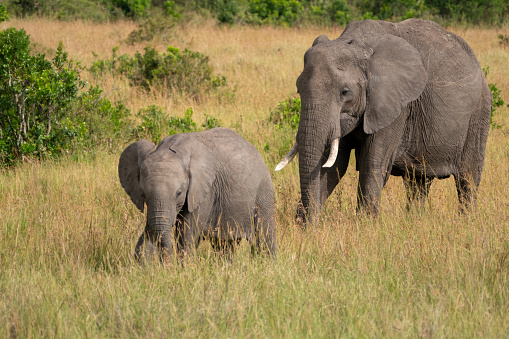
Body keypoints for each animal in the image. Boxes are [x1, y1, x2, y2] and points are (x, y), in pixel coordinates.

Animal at [117, 128, 276, 262]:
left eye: (179, 193)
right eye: (143, 194)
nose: (166, 264)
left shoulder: (206, 190)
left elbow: (187, 233)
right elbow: (150, 229)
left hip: (263, 191)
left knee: (264, 237)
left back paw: (267, 266)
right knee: (224, 244)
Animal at [276, 18, 490, 226]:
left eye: (345, 92)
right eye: (299, 89)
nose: (308, 223)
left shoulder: (396, 106)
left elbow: (372, 165)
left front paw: (365, 226)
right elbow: (333, 165)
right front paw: (304, 228)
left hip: (479, 113)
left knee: (468, 178)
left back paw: (467, 222)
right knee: (418, 181)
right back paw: (415, 222)